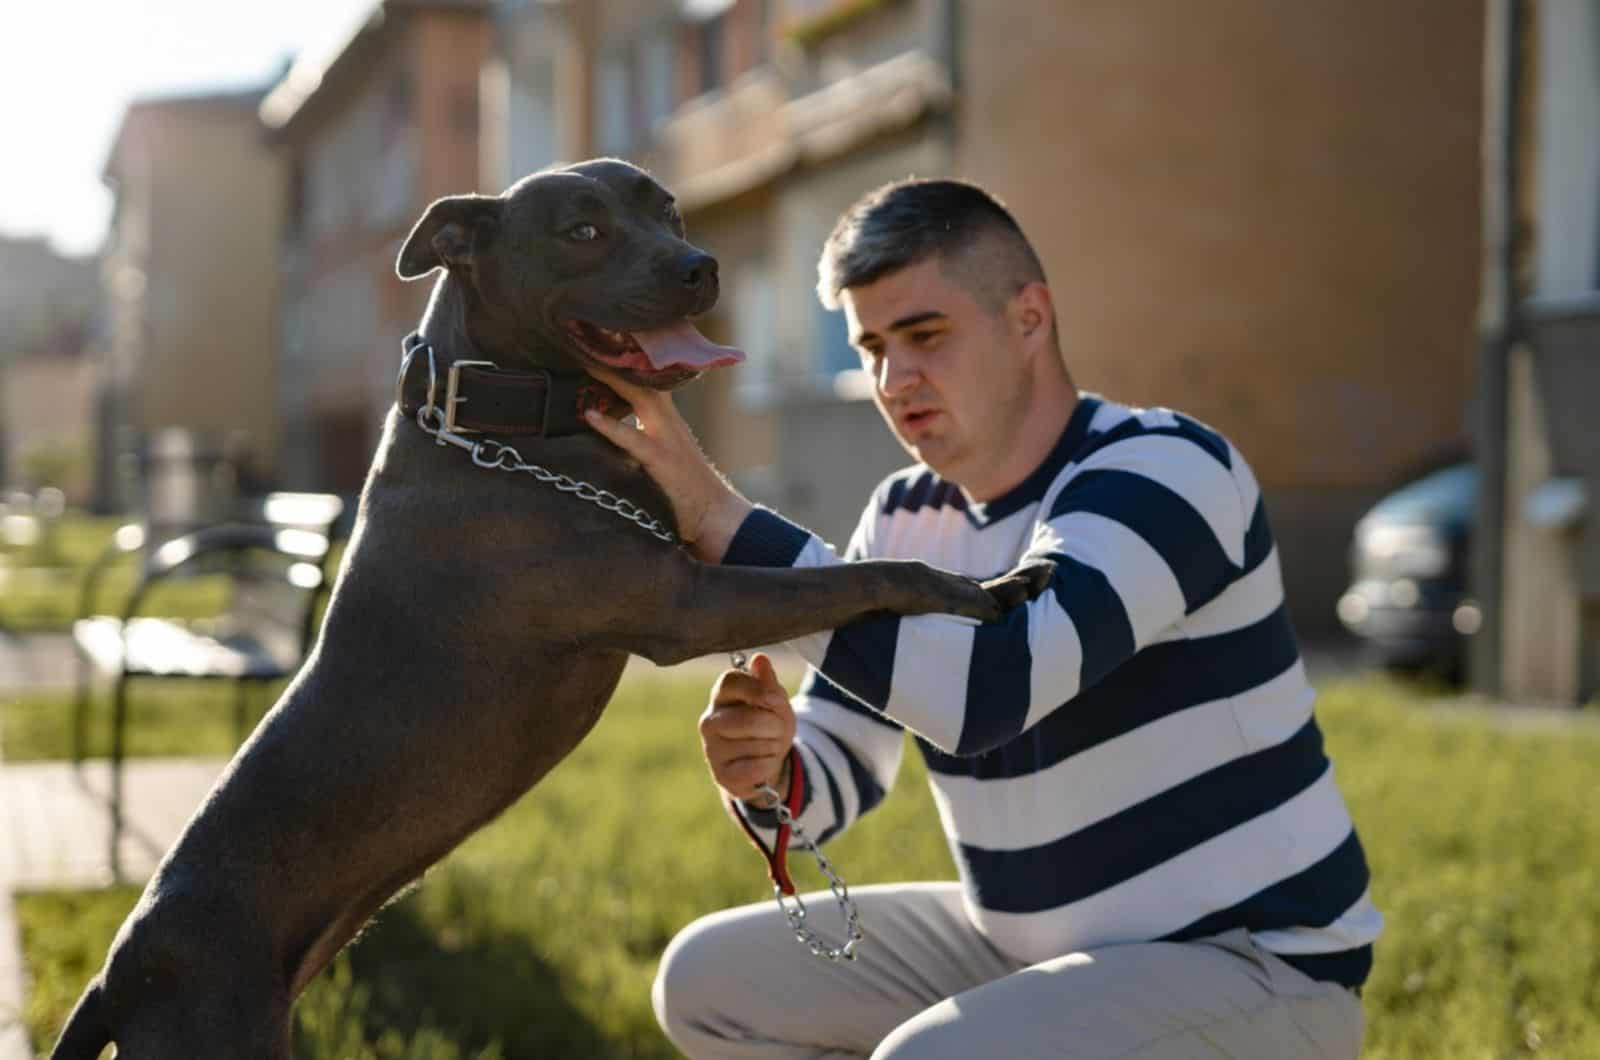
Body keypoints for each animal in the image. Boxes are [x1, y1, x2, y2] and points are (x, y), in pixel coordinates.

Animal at [50, 160, 1049, 1060]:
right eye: (582, 230)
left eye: (668, 210)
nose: (701, 266)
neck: (500, 424)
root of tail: (118, 972)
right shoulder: (687, 605)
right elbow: (861, 573)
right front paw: (981, 588)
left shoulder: (698, 568)